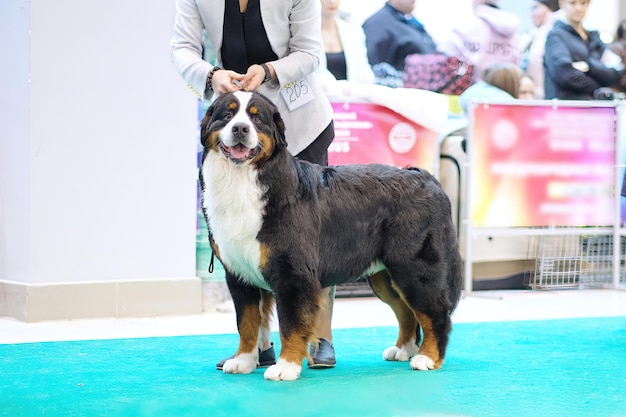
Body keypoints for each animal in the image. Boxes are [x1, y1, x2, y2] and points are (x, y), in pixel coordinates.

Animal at [197, 91, 460, 380]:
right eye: (227, 115)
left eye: (256, 118)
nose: (241, 129)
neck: (244, 181)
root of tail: (426, 177)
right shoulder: (239, 274)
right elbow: (247, 323)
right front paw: (243, 361)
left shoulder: (292, 274)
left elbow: (290, 323)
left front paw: (286, 367)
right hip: (385, 275)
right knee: (407, 312)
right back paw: (403, 350)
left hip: (414, 267)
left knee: (435, 312)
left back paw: (427, 357)